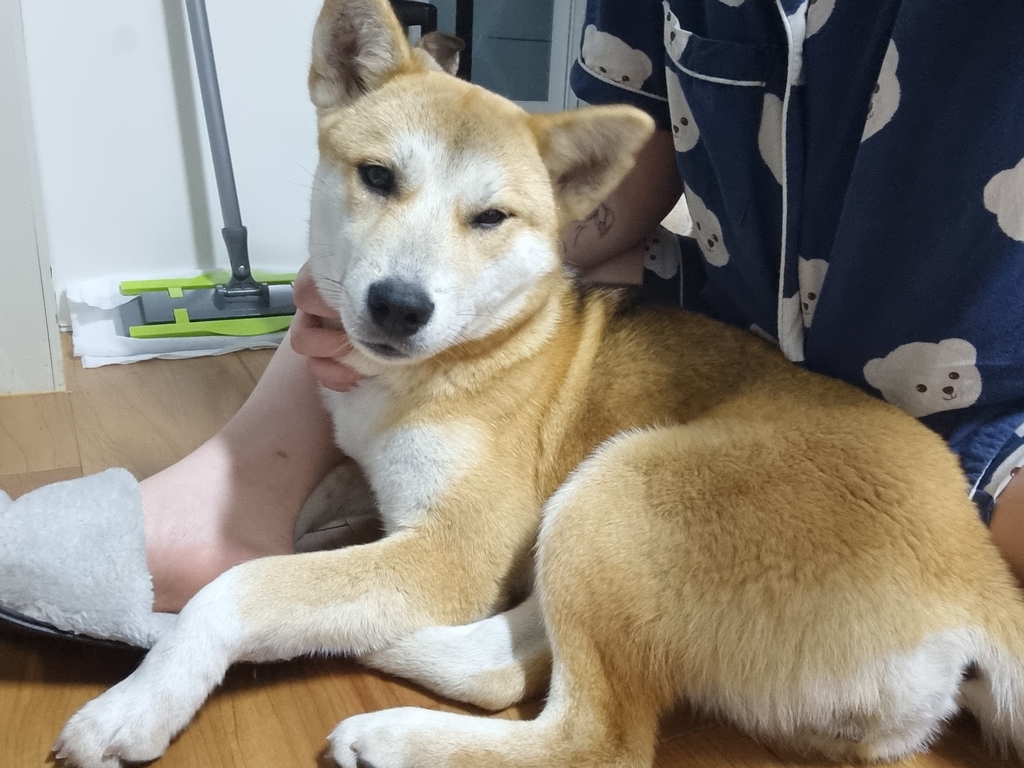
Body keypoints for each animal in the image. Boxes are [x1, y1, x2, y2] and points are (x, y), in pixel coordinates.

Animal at [54, 0, 1024, 765]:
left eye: (492, 217)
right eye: (377, 177)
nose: (398, 305)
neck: (478, 351)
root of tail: (977, 579)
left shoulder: (449, 551)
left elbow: (241, 588)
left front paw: (141, 699)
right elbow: (322, 498)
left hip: (619, 485)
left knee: (584, 734)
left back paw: (394, 723)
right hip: (591, 519)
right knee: (522, 650)